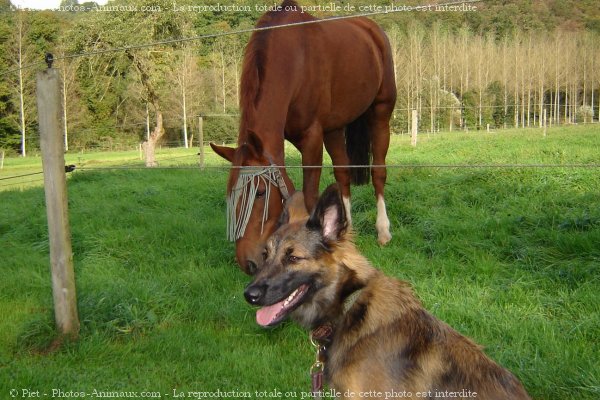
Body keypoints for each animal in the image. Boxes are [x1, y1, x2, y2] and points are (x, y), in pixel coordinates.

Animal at [212, 0, 398, 274]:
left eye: (261, 193)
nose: (248, 263)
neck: (294, 61)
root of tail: (372, 29)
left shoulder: (312, 138)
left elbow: (310, 196)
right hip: (335, 128)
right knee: (343, 173)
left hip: (381, 113)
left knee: (378, 171)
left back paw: (383, 231)